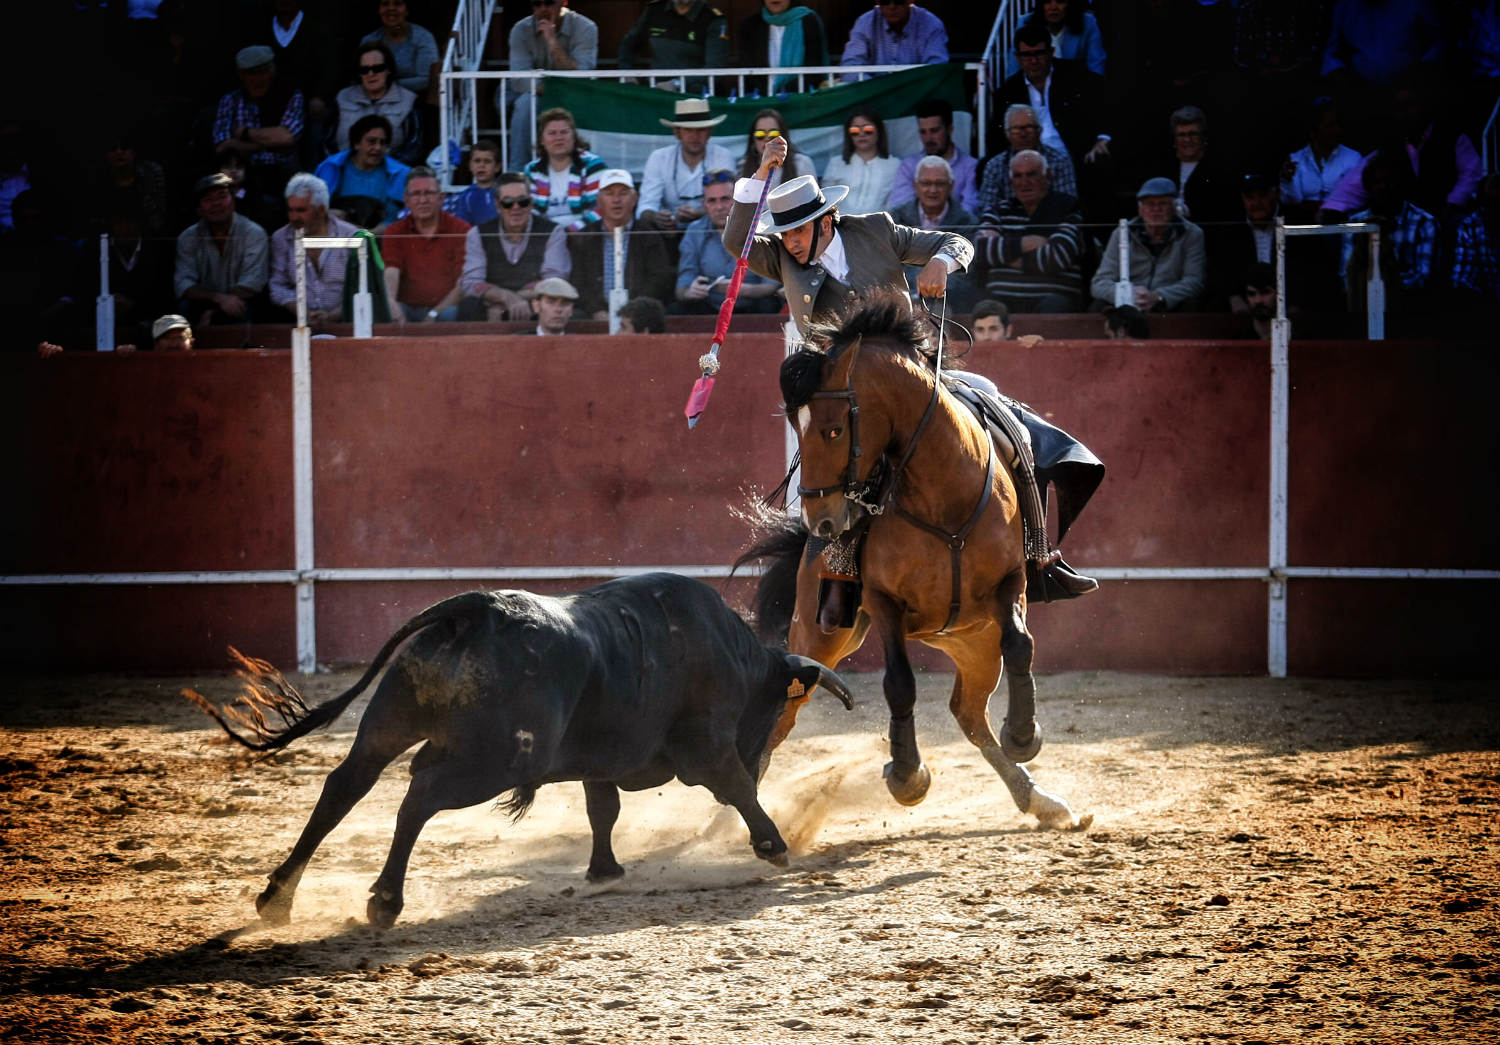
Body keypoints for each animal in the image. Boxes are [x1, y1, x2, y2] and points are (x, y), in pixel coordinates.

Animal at [184, 575, 858, 923]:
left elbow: (602, 809)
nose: (766, 756)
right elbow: (736, 787)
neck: (734, 658)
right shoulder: (706, 746)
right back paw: (384, 900)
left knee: (345, 787)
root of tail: (477, 608)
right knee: (418, 796)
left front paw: (604, 871)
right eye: (773, 714)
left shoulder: (600, 759)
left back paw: (277, 898)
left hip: (389, 723)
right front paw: (773, 846)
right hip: (495, 761)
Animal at [738, 293, 1092, 833]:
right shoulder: (884, 602)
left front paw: (1024, 734)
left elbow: (1021, 644)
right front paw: (907, 776)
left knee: (969, 712)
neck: (943, 491)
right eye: (796, 427)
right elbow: (899, 683)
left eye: (833, 429)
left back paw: (1040, 799)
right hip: (820, 634)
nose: (822, 521)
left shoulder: (1011, 582)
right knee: (785, 711)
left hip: (972, 638)